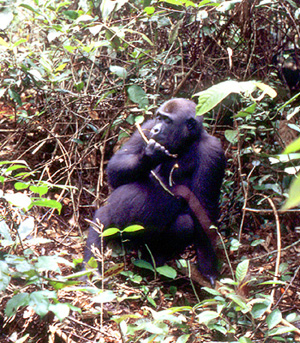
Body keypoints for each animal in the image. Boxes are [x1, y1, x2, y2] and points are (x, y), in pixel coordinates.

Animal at [84, 99, 225, 284]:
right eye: (159, 118)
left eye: (168, 121)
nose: (157, 130)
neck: (186, 143)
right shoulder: (146, 127)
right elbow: (116, 168)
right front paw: (150, 156)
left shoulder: (213, 151)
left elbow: (203, 210)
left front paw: (208, 268)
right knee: (102, 220)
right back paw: (90, 271)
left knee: (184, 224)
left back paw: (152, 261)